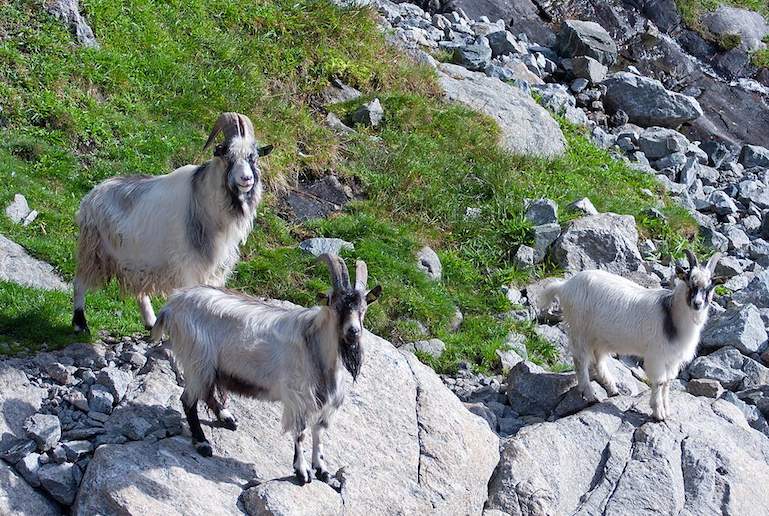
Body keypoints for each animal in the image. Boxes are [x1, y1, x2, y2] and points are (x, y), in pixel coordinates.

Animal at [72, 112, 270, 334]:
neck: (204, 203)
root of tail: (91, 195)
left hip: (134, 260)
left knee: (139, 292)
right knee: (79, 282)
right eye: (228, 154)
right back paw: (80, 323)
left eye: (254, 157)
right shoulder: (187, 267)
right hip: (93, 249)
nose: (247, 179)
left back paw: (150, 322)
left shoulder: (214, 269)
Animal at [150, 254, 380, 484]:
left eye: (363, 308)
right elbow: (301, 433)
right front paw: (302, 471)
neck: (314, 347)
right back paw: (203, 443)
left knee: (205, 392)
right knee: (188, 400)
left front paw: (322, 469)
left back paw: (227, 418)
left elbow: (319, 432)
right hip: (197, 359)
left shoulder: (326, 402)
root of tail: (173, 303)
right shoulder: (298, 396)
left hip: (208, 366)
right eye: (336, 305)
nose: (353, 332)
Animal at [540, 252, 720, 422]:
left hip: (599, 336)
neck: (671, 315)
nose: (697, 304)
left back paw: (613, 389)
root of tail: (564, 286)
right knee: (580, 360)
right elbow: (659, 382)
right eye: (690, 283)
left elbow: (668, 382)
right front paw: (658, 413)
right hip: (579, 330)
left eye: (710, 287)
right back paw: (590, 395)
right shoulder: (656, 356)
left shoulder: (673, 359)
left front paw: (667, 411)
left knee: (598, 359)